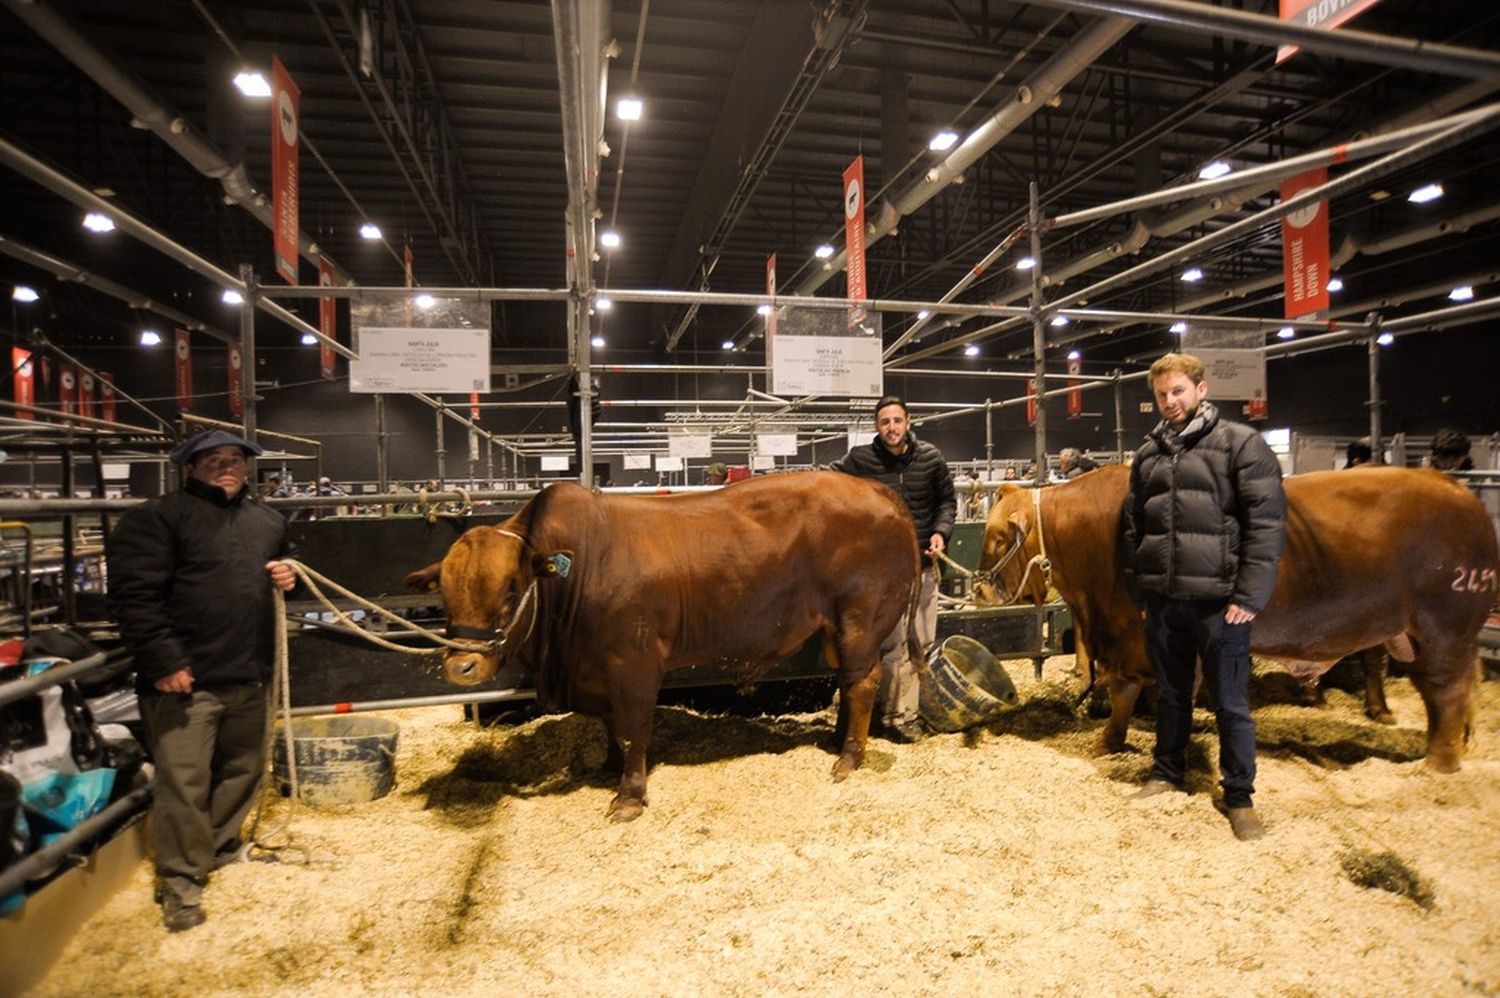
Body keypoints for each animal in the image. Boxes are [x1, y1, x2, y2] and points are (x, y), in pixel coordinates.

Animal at [405, 471, 918, 822]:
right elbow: (612, 725)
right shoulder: (596, 671)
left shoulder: (633, 663)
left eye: (511, 591)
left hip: (859, 620)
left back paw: (849, 758)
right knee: (848, 681)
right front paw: (607, 767)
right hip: (834, 630)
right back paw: (839, 741)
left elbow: (634, 727)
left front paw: (629, 796)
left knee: (862, 681)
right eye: (445, 596)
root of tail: (876, 490)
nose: (462, 666)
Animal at [978, 465, 1494, 768]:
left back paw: (1437, 763)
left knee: (1446, 694)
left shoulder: (1134, 634)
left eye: (998, 537)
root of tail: (1458, 489)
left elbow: (1135, 690)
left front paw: (1123, 742)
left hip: (1443, 628)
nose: (980, 587)